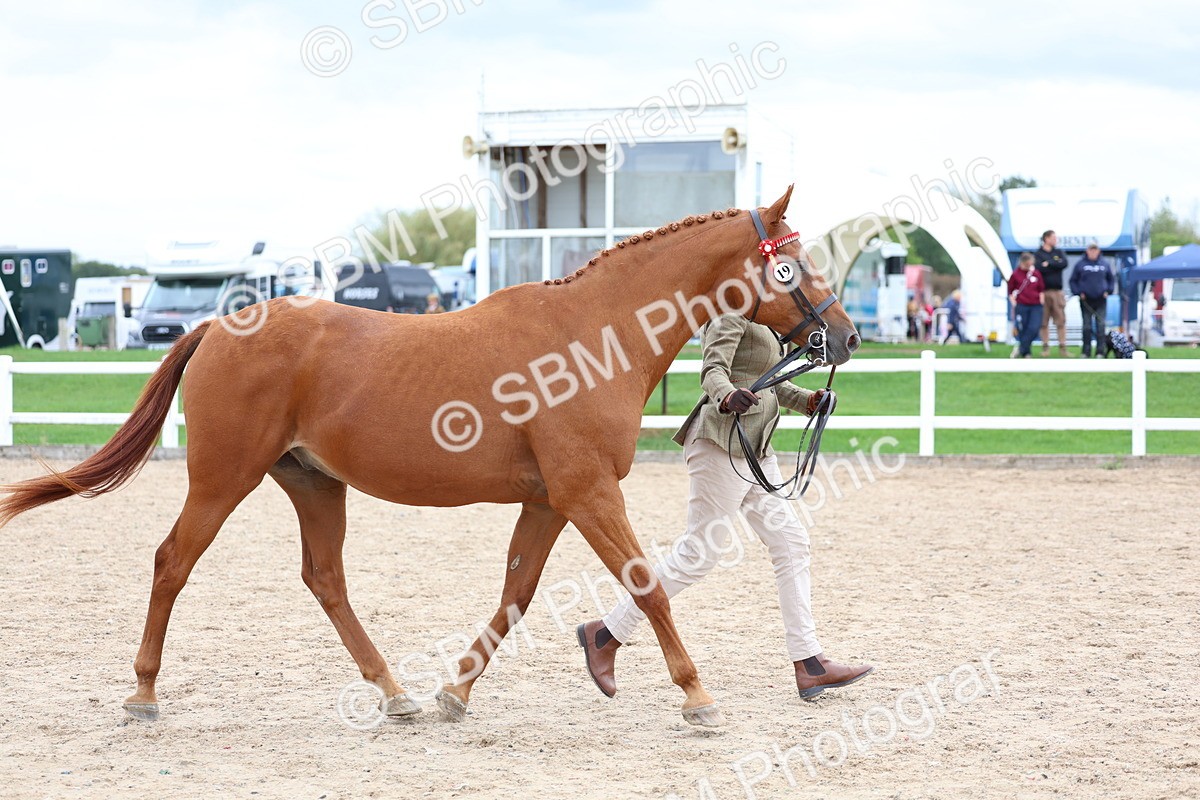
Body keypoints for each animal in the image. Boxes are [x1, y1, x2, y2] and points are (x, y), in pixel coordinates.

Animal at [0, 186, 859, 728]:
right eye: (792, 262)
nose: (845, 336)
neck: (591, 336)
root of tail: (218, 325)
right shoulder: (586, 493)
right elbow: (647, 587)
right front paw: (696, 696)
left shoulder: (549, 500)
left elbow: (515, 596)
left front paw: (456, 695)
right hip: (222, 478)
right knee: (173, 562)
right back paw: (143, 695)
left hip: (313, 484)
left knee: (325, 579)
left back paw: (395, 693)